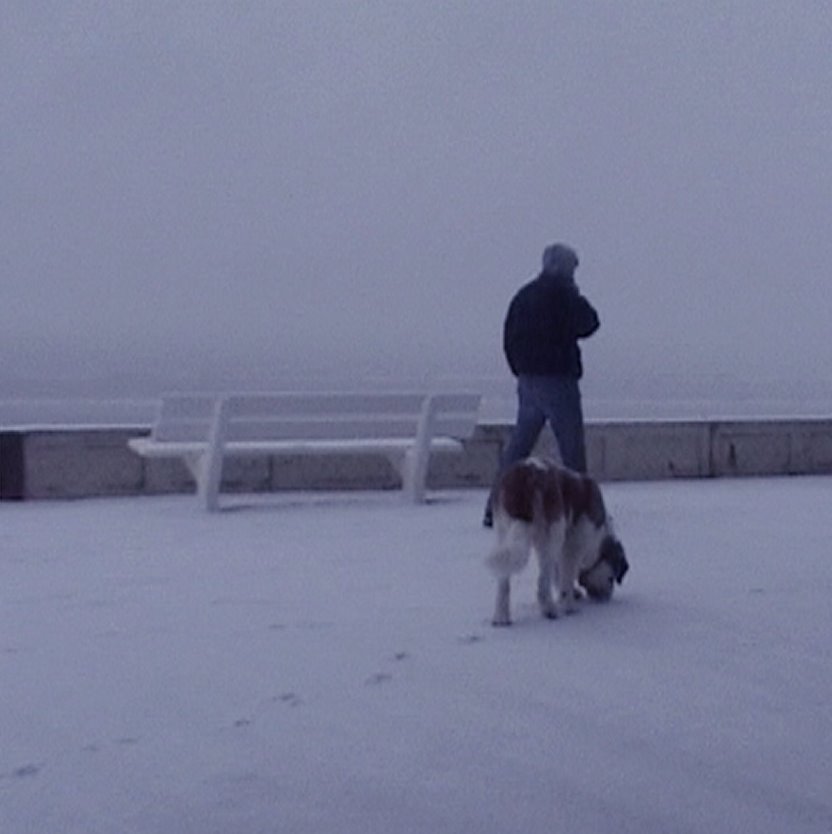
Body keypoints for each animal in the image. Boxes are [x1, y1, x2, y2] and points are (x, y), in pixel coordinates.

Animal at [484, 456, 628, 624]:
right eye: (611, 578)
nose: (606, 598)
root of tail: (526, 474)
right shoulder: (572, 546)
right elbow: (566, 576)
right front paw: (569, 605)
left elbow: (558, 573)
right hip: (552, 535)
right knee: (541, 583)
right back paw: (550, 610)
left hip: (503, 531)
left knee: (504, 580)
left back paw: (501, 617)